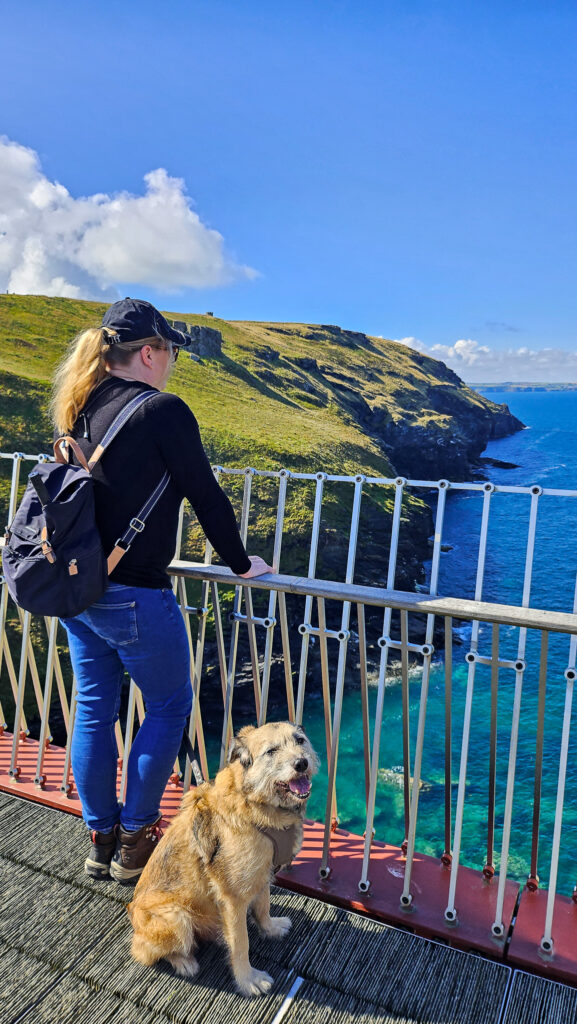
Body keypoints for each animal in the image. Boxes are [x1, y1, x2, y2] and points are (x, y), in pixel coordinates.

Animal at [127, 724, 319, 995]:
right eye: (271, 751)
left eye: (300, 740)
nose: (301, 763)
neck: (256, 803)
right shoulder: (233, 899)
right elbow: (241, 943)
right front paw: (248, 980)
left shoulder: (262, 875)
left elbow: (263, 907)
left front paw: (270, 928)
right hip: (176, 917)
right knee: (143, 950)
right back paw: (184, 961)